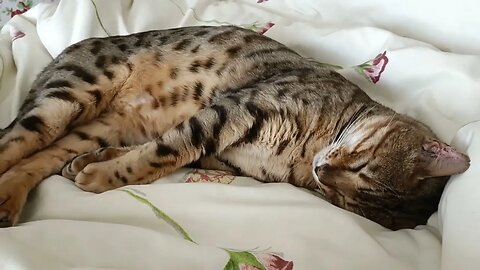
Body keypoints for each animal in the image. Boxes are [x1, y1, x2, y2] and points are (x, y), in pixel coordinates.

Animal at [0, 25, 468, 230]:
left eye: (343, 199)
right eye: (361, 166)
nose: (323, 172)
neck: (303, 158)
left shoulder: (223, 157)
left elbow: (157, 154)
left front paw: (91, 166)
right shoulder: (233, 110)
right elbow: (166, 149)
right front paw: (100, 174)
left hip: (97, 121)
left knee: (44, 155)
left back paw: (11, 197)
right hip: (72, 93)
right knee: (16, 140)